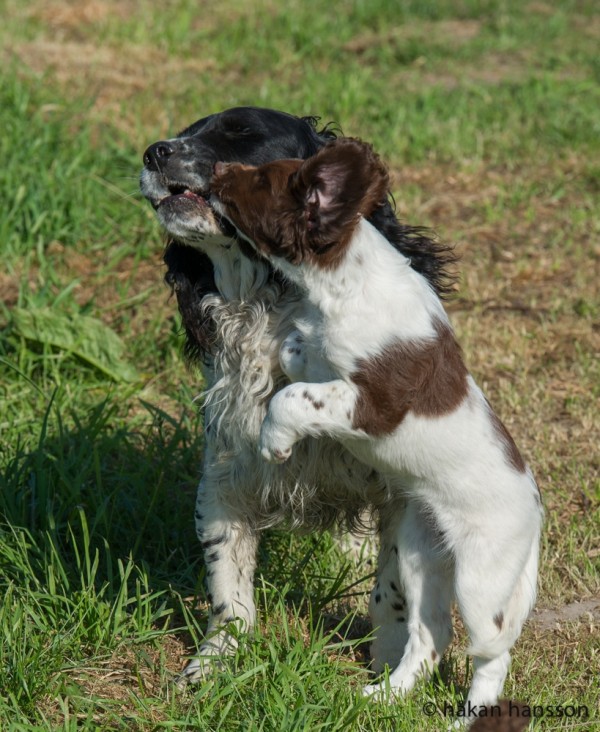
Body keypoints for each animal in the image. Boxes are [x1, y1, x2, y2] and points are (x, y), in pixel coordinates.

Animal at [139, 108, 454, 688]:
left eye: (241, 133)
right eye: (189, 130)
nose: (154, 152)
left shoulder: (401, 490)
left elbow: (392, 588)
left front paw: (387, 662)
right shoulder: (225, 475)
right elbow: (228, 587)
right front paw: (215, 664)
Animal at [211, 136, 544, 716]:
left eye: (259, 180)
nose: (216, 169)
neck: (346, 282)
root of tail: (537, 513)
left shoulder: (375, 403)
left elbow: (294, 399)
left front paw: (274, 441)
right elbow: (298, 358)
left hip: (483, 578)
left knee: (491, 651)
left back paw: (469, 715)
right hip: (419, 553)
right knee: (431, 634)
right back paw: (386, 695)